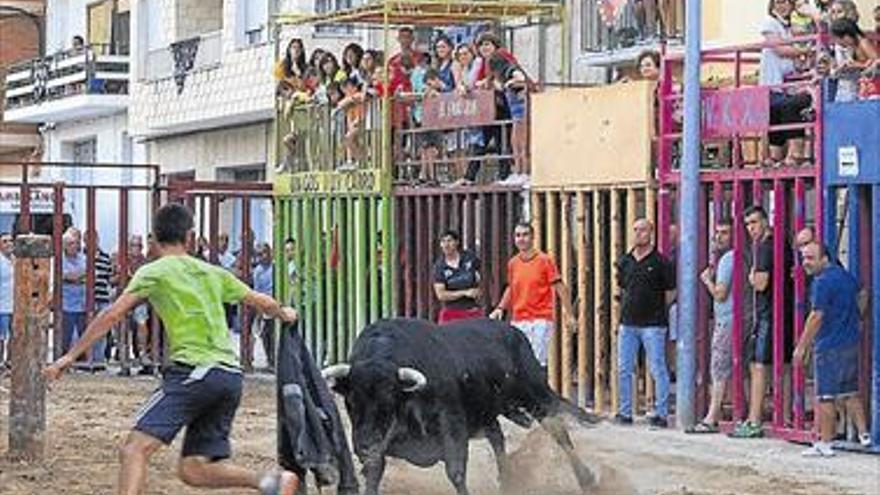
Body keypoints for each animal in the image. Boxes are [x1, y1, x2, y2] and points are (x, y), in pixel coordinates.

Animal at [324, 320, 600, 494]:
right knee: (497, 437)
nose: (365, 446)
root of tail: (514, 333)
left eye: (389, 400)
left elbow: (455, 472)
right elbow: (373, 475)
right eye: (351, 401)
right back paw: (507, 482)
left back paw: (587, 480)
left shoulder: (452, 426)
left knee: (559, 432)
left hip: (536, 396)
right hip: (489, 412)